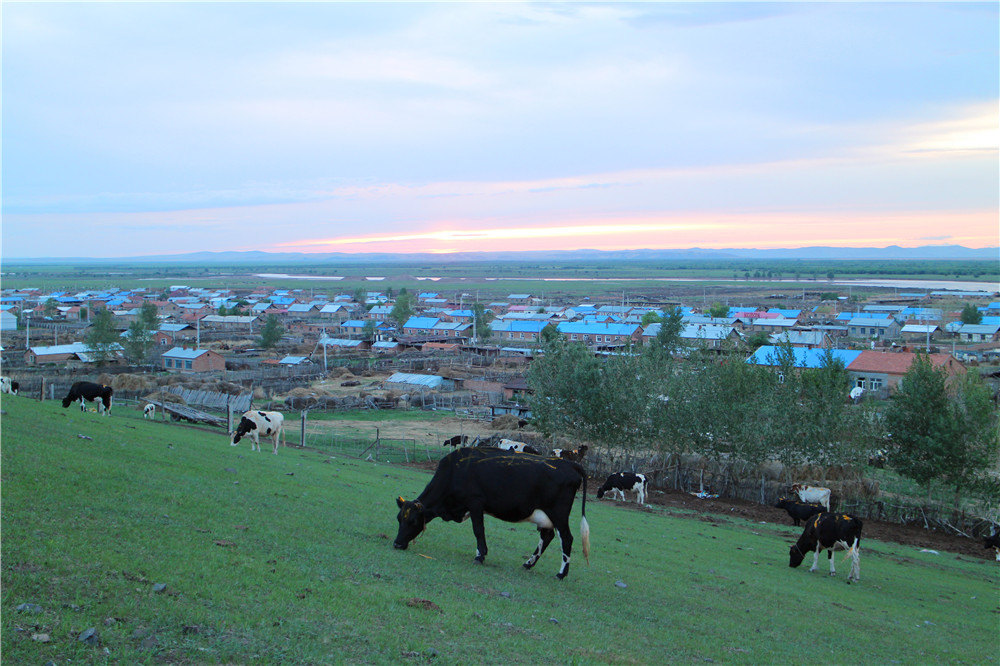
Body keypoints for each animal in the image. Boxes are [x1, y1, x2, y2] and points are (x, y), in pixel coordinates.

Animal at [392, 446, 592, 576]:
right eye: (399, 519)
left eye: (413, 521)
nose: (397, 544)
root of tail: (569, 464)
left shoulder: (475, 503)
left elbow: (478, 530)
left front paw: (480, 556)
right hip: (545, 516)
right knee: (547, 537)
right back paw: (528, 564)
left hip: (558, 514)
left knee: (566, 538)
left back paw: (561, 573)